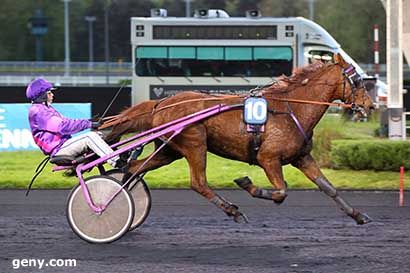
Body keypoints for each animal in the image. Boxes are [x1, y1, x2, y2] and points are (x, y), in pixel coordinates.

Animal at [103, 53, 374, 223]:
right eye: (358, 80)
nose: (370, 106)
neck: (292, 108)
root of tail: (160, 103)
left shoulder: (302, 157)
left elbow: (329, 188)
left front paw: (358, 215)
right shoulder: (268, 158)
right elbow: (281, 191)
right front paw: (247, 184)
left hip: (170, 150)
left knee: (134, 167)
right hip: (194, 144)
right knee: (198, 183)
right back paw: (232, 210)